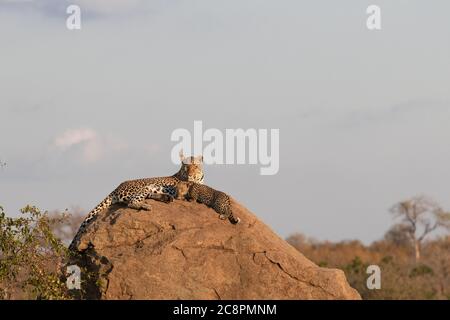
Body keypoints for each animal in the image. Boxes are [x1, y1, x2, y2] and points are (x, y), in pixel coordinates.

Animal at [68, 151, 204, 251]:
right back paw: (146, 206)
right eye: (186, 167)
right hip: (143, 188)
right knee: (131, 202)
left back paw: (165, 198)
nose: (190, 174)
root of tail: (117, 187)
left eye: (195, 166)